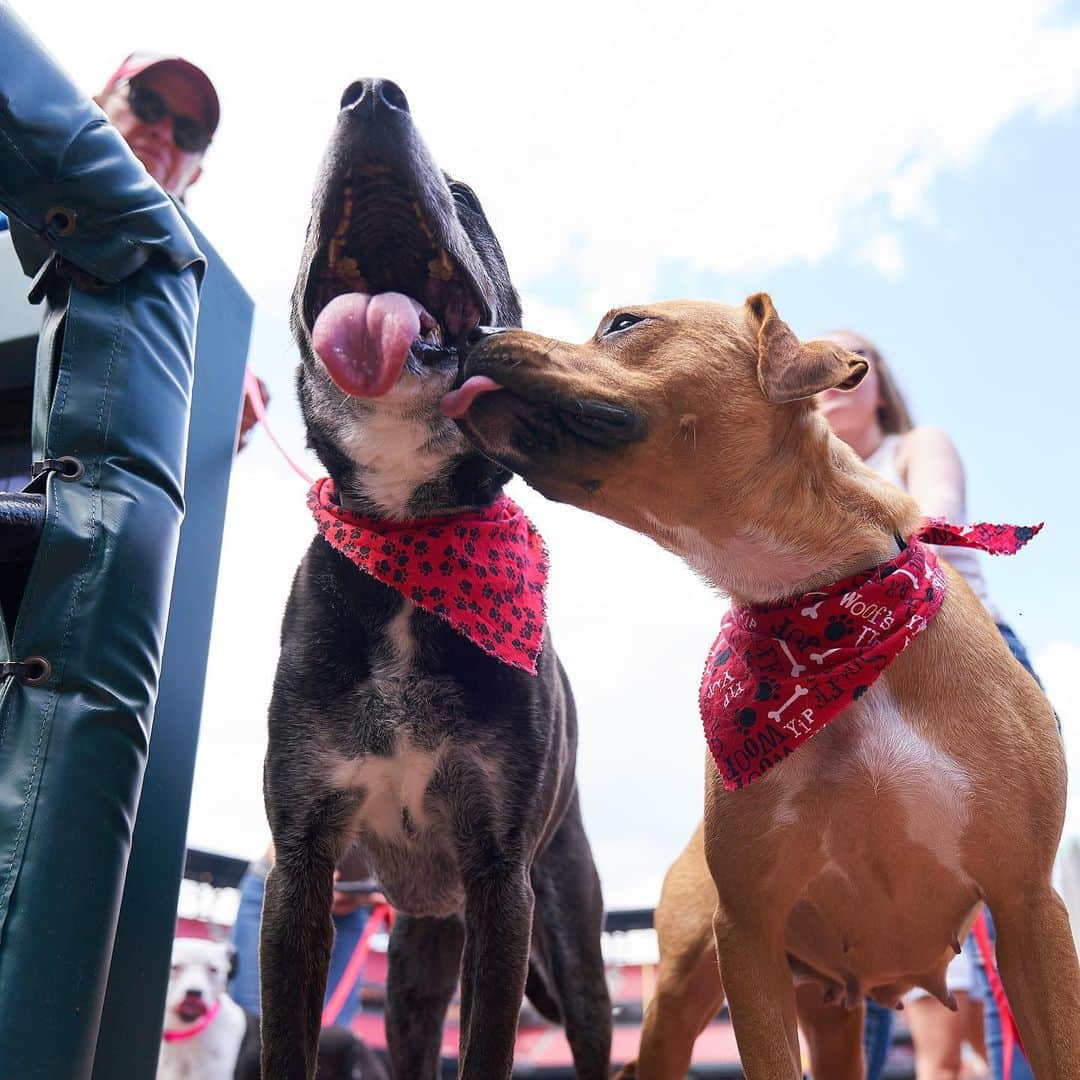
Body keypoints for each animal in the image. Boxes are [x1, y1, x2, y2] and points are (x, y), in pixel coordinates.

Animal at [440, 295, 1080, 1080]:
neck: (824, 614)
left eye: (623, 324)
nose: (468, 331)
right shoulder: (750, 930)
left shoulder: (1027, 909)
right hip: (685, 1003)